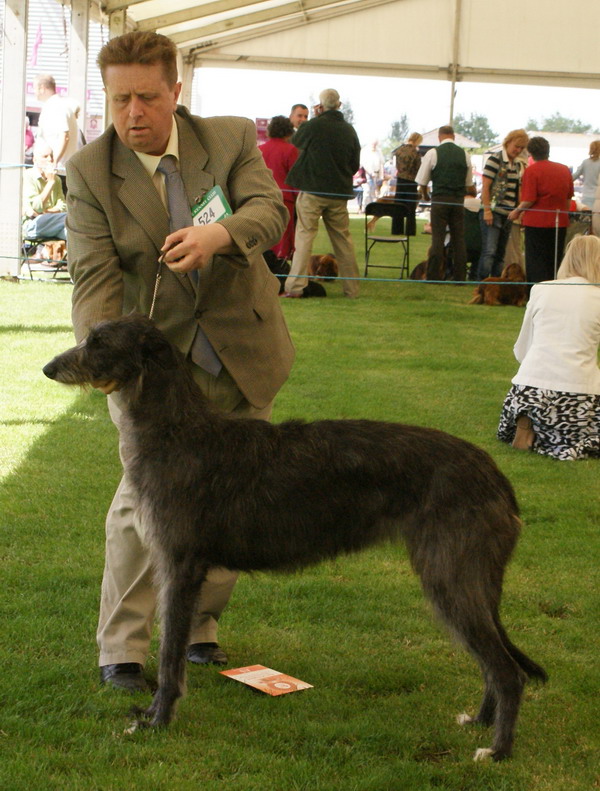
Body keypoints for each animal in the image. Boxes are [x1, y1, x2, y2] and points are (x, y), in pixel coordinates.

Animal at [43, 314, 548, 760]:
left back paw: (498, 750)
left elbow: (170, 656)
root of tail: (496, 476)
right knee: (493, 661)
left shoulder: (181, 566)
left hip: (450, 574)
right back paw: (481, 721)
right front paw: (151, 715)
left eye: (99, 342)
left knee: (506, 670)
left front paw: (158, 720)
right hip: (470, 578)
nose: (49, 367)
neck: (177, 428)